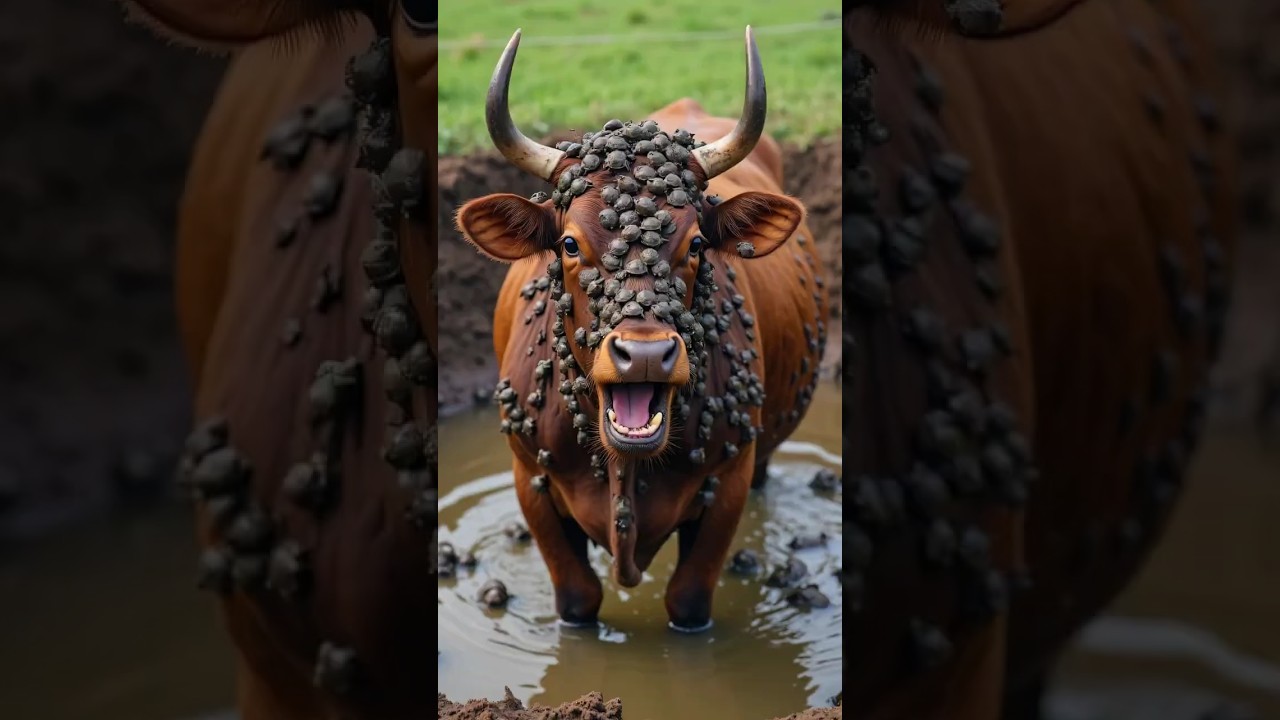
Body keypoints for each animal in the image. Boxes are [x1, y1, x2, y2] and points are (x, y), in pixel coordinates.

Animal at [454, 28, 829, 632]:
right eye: (568, 243)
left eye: (696, 244)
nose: (646, 355)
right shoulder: (528, 479)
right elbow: (578, 596)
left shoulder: (729, 480)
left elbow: (688, 598)